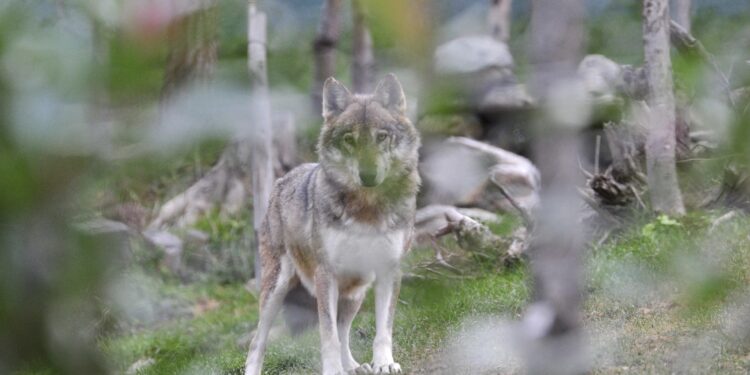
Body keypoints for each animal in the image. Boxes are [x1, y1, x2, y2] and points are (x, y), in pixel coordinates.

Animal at [247, 74, 424, 375]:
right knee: (256, 343)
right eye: (349, 139)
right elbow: (327, 335)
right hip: (276, 289)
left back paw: (354, 366)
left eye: (381, 136)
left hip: (356, 291)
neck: (367, 210)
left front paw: (384, 363)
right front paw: (332, 370)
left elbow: (382, 330)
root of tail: (283, 178)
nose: (368, 174)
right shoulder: (325, 274)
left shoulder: (389, 270)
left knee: (344, 331)